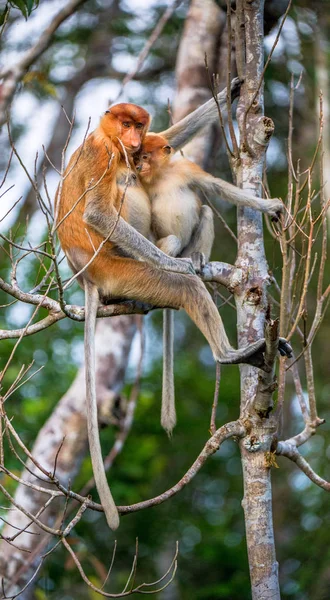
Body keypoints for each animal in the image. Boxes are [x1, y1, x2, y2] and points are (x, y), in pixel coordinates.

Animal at [135, 132, 284, 432]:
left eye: (146, 155)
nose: (140, 165)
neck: (162, 174)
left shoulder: (186, 169)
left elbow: (217, 187)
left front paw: (270, 206)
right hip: (171, 246)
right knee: (172, 239)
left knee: (204, 211)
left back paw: (198, 258)